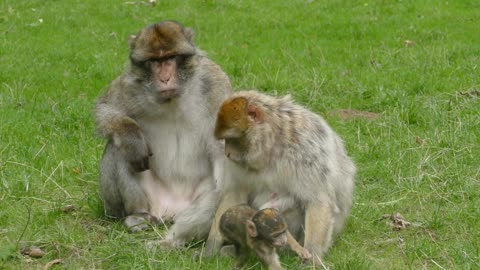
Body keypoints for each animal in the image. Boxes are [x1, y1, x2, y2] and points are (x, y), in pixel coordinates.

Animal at [94, 20, 232, 246]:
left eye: (171, 58)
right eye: (153, 61)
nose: (165, 78)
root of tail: (171, 211)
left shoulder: (214, 82)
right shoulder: (130, 83)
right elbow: (106, 109)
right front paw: (132, 138)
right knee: (117, 147)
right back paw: (138, 215)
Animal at [203, 90, 356, 264]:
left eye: (232, 139)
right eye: (225, 140)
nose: (227, 153)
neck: (272, 145)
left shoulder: (306, 153)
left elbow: (318, 200)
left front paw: (312, 257)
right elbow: (235, 193)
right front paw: (211, 247)